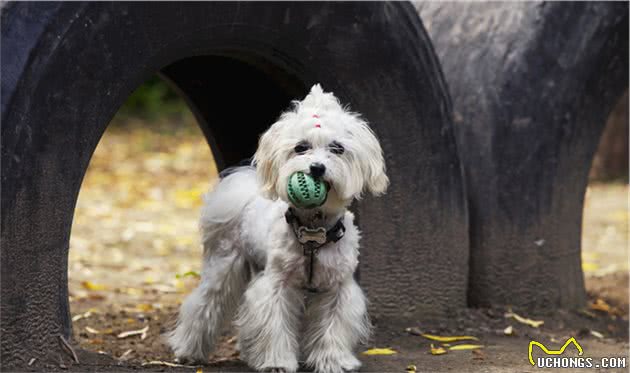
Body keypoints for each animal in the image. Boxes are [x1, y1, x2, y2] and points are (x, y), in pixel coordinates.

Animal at [170, 85, 392, 372]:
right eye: (301, 147)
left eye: (337, 148)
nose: (317, 168)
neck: (313, 230)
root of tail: (247, 196)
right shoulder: (276, 286)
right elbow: (274, 324)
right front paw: (277, 362)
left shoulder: (338, 288)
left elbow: (333, 326)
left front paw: (333, 360)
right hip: (224, 265)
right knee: (204, 305)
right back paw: (187, 350)